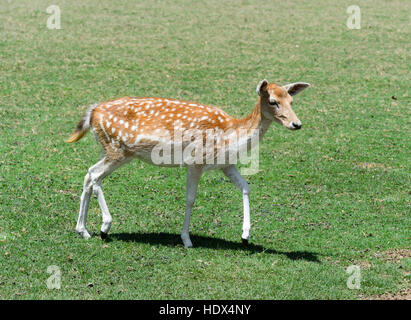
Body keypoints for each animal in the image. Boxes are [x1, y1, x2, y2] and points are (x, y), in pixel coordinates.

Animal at [66, 79, 310, 248]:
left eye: (291, 101)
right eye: (273, 102)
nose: (297, 124)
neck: (231, 135)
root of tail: (92, 112)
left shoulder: (226, 164)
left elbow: (246, 187)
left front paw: (245, 236)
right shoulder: (196, 161)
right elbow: (190, 199)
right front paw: (186, 239)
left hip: (112, 150)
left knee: (89, 174)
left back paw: (82, 230)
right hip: (118, 149)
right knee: (94, 175)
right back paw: (104, 226)